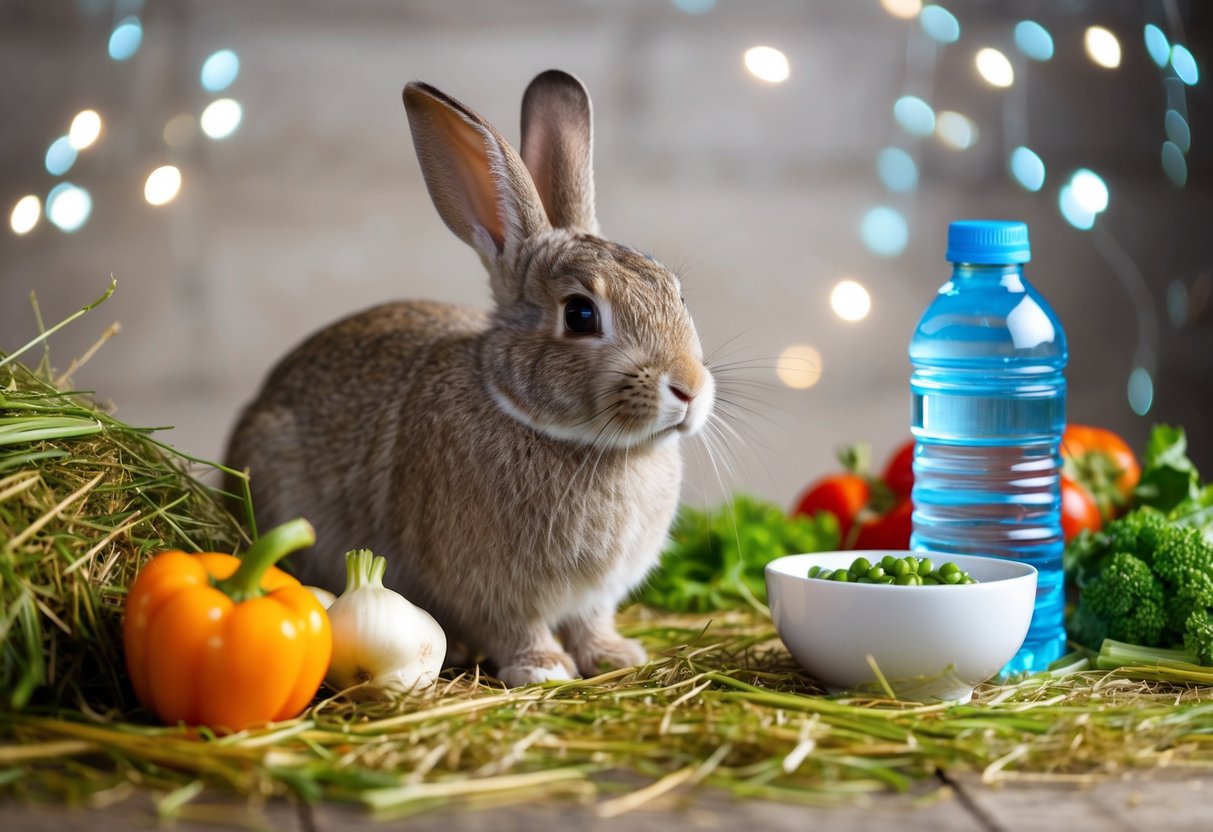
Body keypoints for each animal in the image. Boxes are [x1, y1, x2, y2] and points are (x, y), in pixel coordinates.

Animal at [225, 69, 715, 687]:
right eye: (580, 314)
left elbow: (591, 621)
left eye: (677, 293)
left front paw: (615, 656)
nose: (689, 388)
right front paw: (543, 668)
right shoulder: (490, 590)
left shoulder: (596, 596)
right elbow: (516, 627)